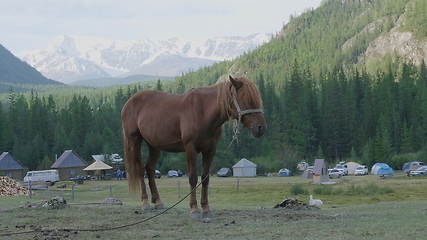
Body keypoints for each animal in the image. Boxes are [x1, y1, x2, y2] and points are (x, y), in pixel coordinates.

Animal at [120, 76, 266, 218]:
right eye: (246, 99)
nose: (261, 128)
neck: (203, 112)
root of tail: (128, 103)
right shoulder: (190, 148)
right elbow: (193, 178)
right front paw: (194, 209)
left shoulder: (210, 150)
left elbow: (205, 179)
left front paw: (206, 209)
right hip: (135, 140)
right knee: (140, 169)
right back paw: (145, 202)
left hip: (154, 145)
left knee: (150, 169)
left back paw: (158, 202)